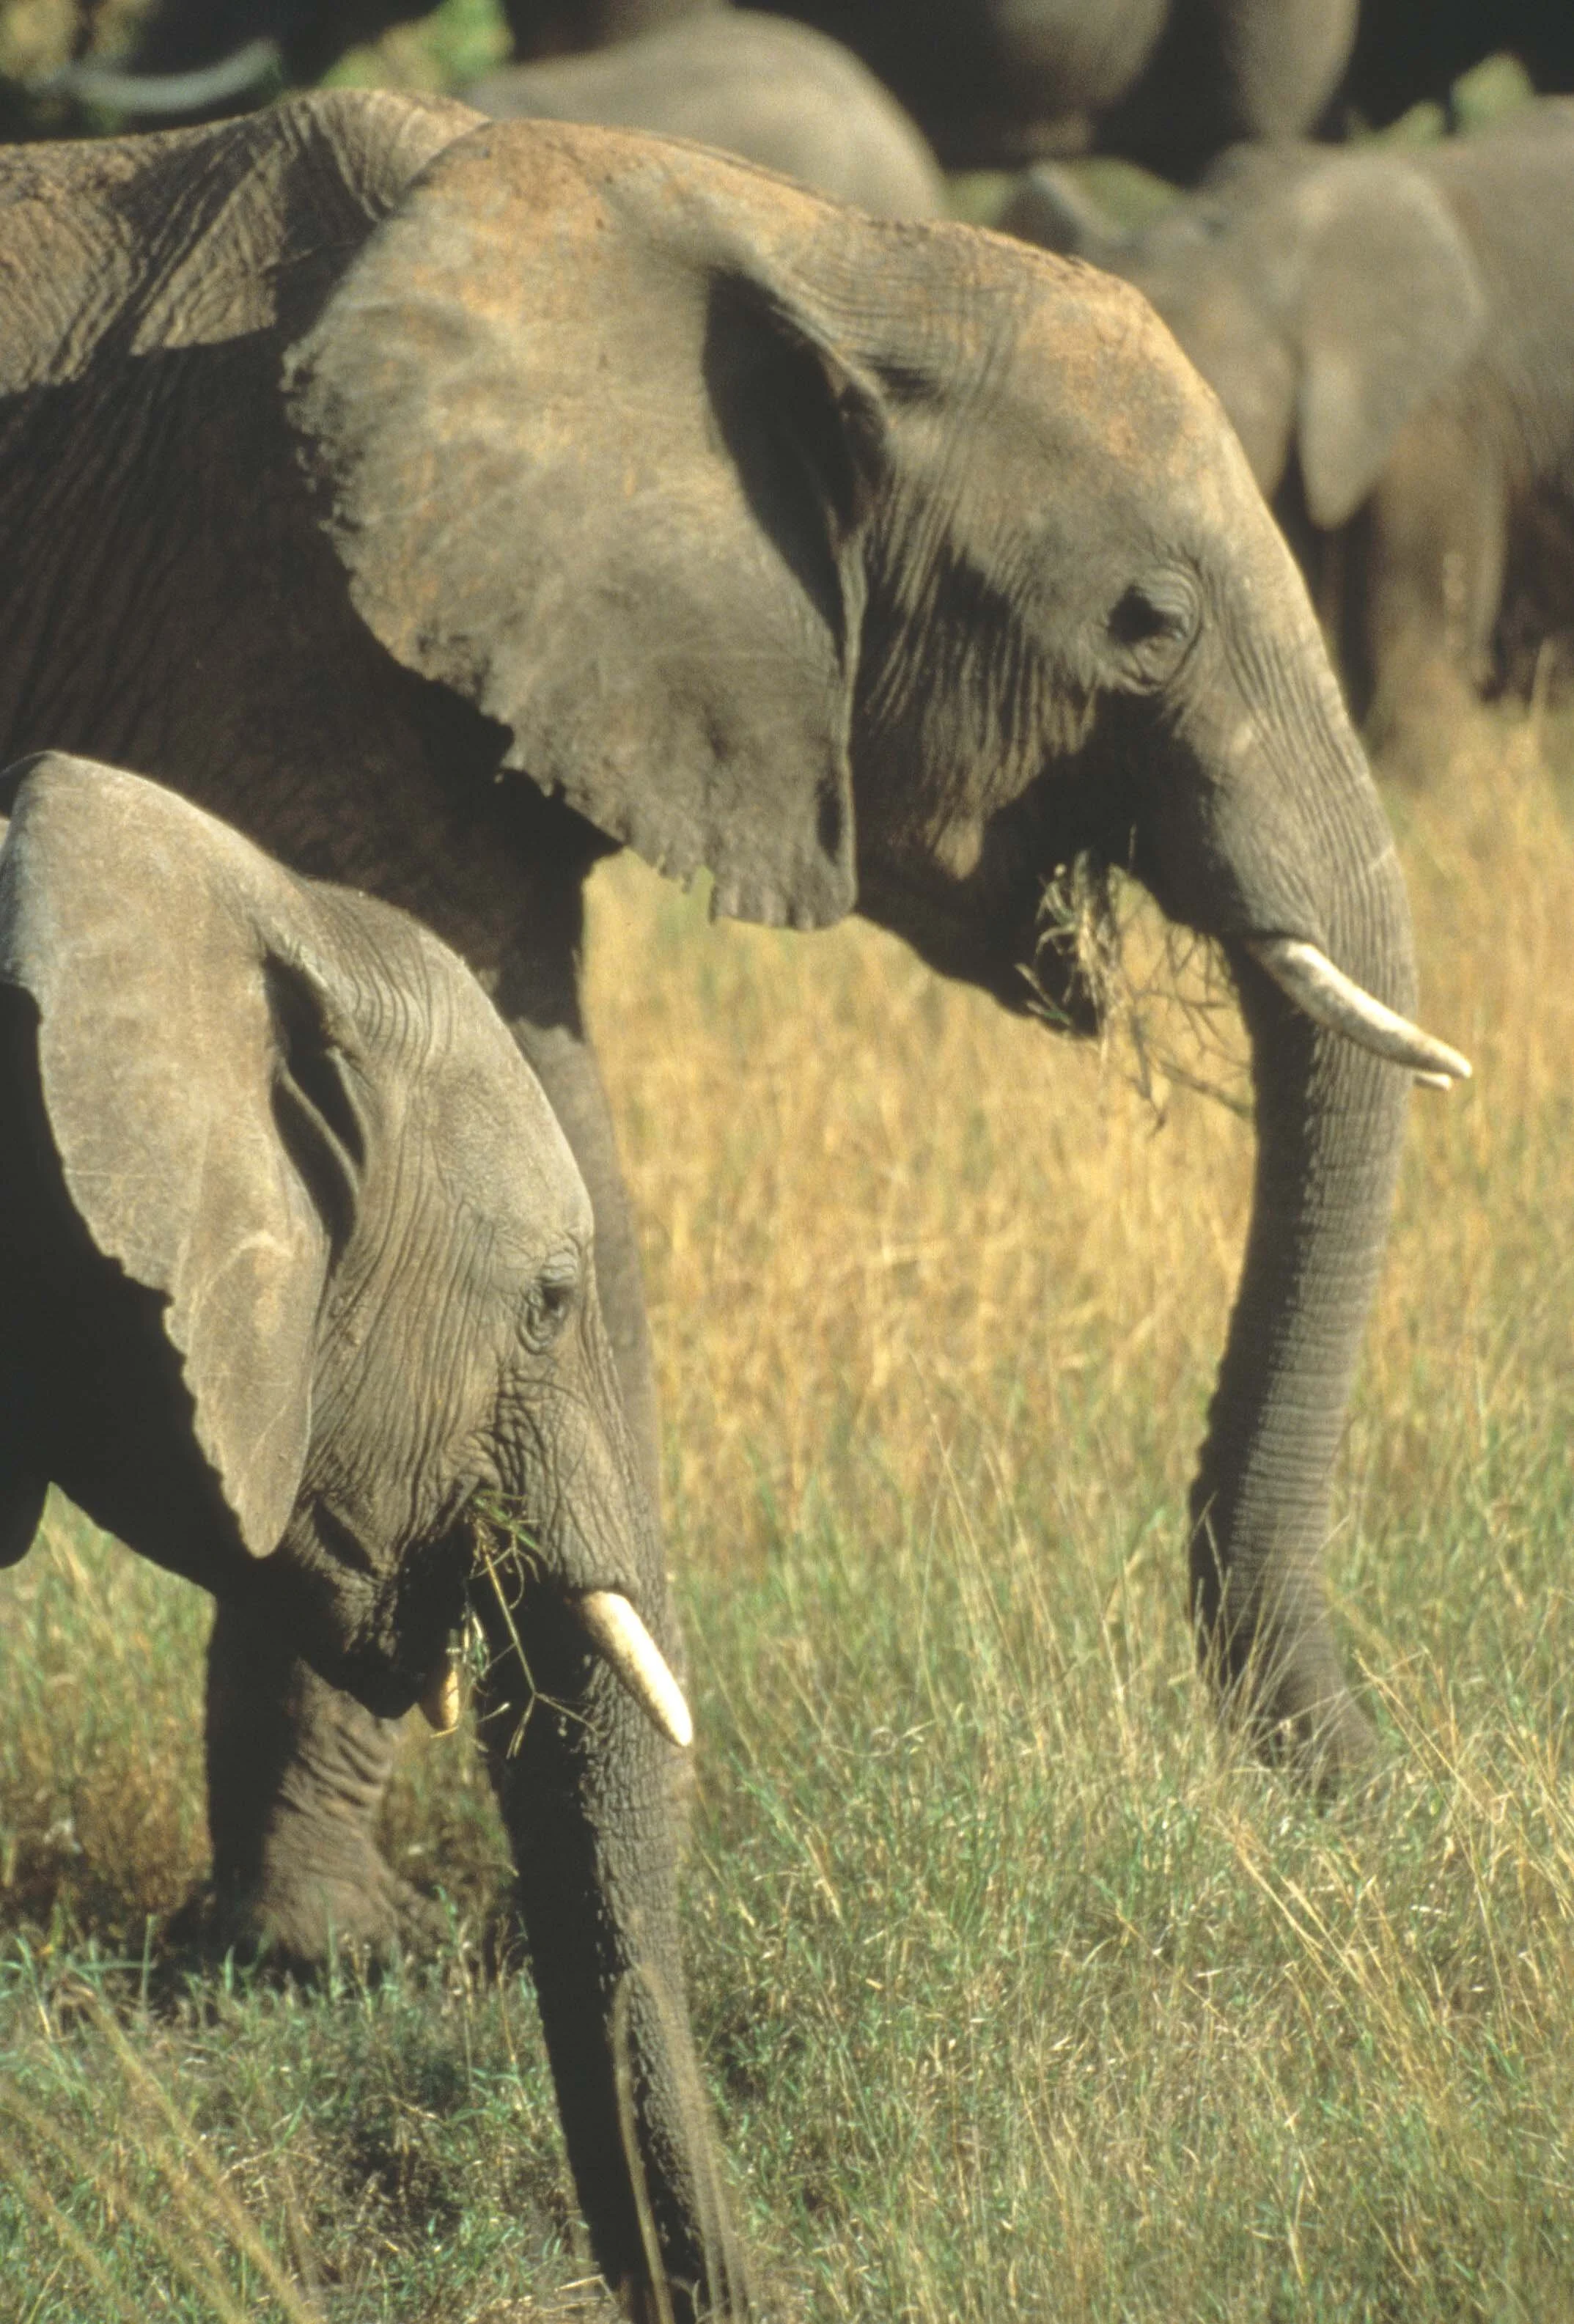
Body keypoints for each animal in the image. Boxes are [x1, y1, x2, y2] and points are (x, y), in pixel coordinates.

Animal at [0, 88, 1469, 2002]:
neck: (800, 247)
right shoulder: (273, 630)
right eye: (1143, 625)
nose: (1382, 1799)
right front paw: (340, 1952)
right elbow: (521, 1173)